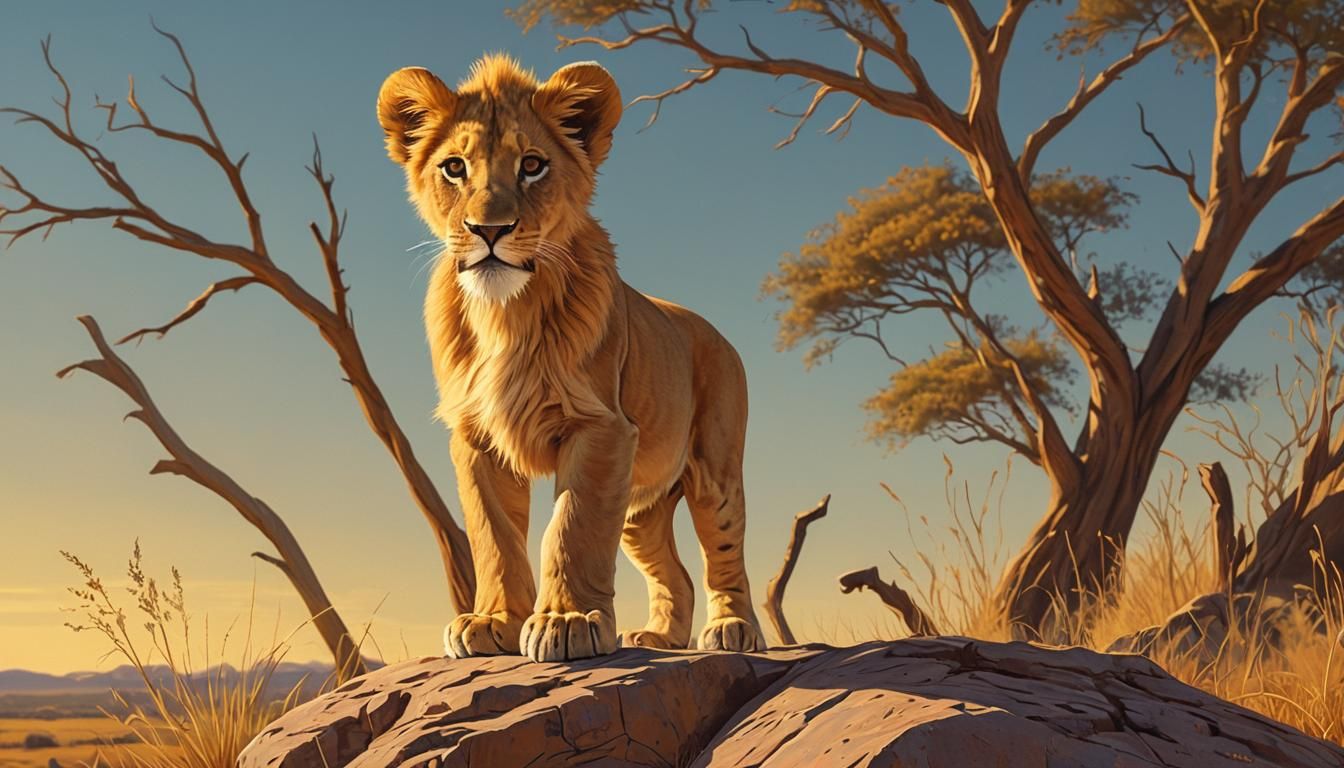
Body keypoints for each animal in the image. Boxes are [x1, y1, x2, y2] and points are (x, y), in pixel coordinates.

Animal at [376, 55, 766, 662]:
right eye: (454, 168)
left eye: (533, 166)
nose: (489, 230)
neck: (505, 313)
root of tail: (714, 329)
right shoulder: (477, 436)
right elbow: (493, 535)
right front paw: (492, 622)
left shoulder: (601, 428)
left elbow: (571, 527)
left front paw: (566, 622)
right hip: (638, 506)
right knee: (674, 574)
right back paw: (659, 636)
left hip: (713, 469)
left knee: (724, 552)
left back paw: (733, 629)